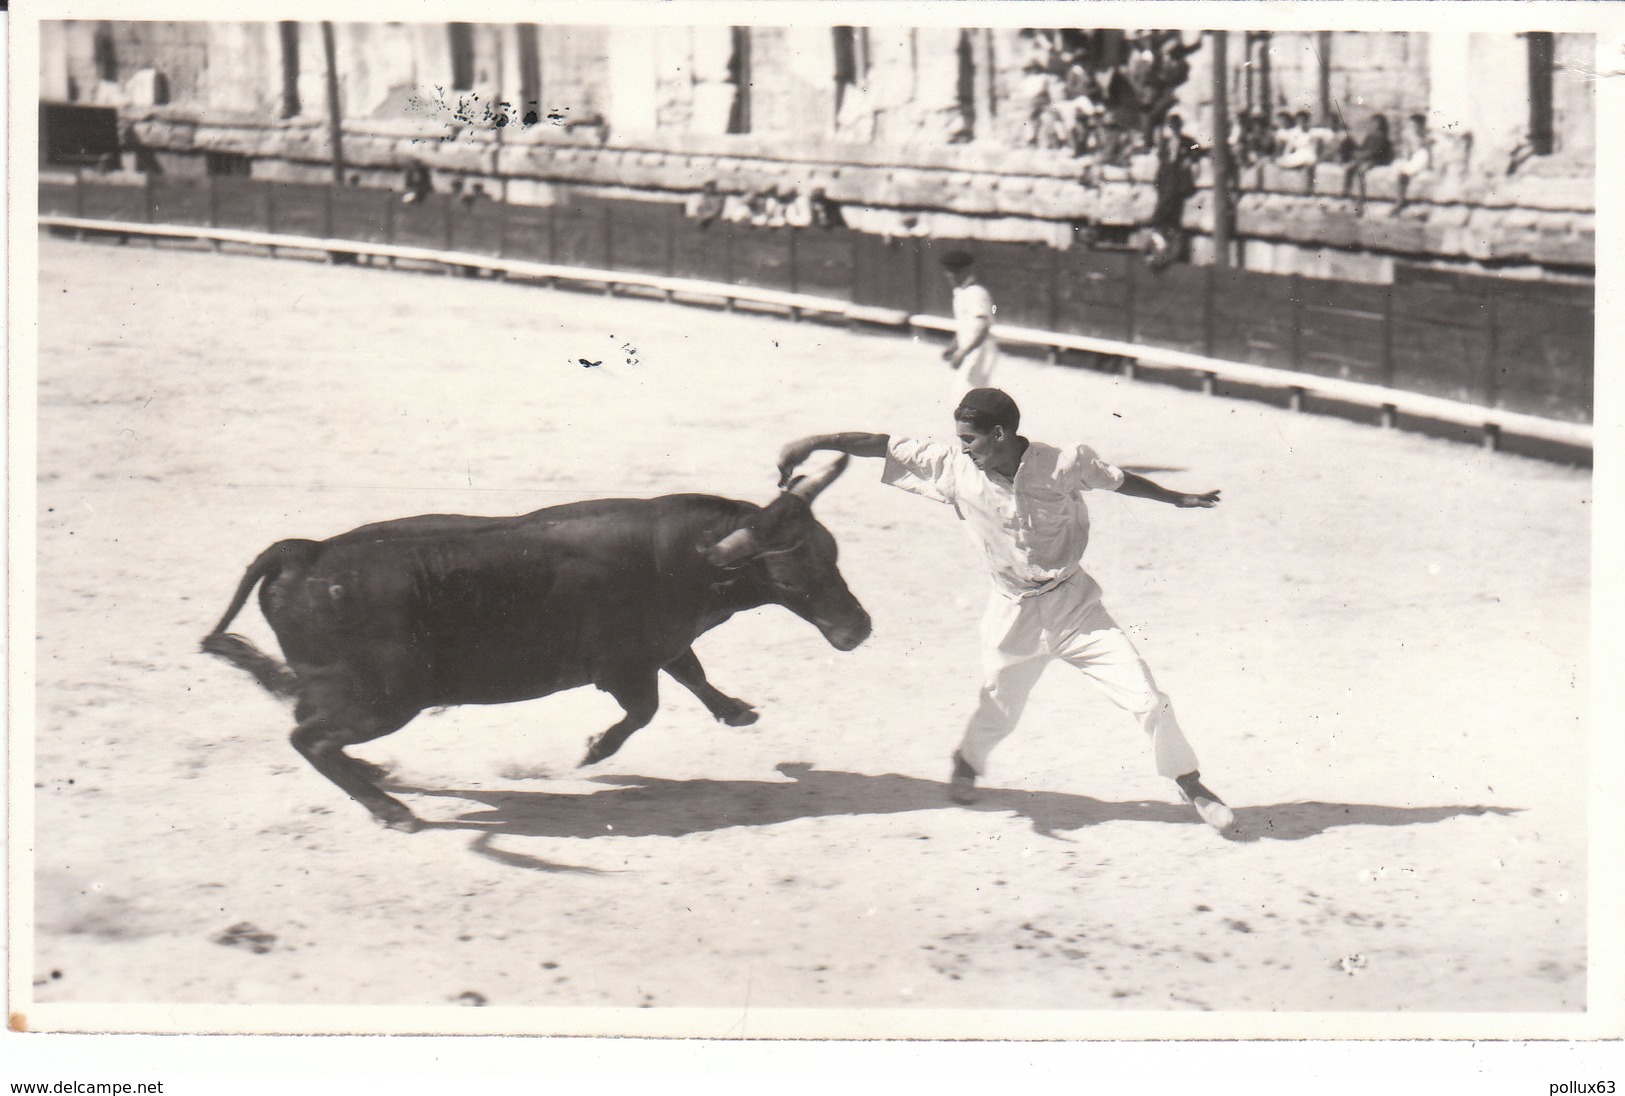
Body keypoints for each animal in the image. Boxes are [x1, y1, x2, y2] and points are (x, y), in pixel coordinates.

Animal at [206, 455, 877, 829]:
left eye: (832, 552)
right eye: (788, 576)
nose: (858, 629)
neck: (681, 559)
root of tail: (306, 551)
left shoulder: (662, 645)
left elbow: (692, 672)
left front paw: (736, 712)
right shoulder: (624, 668)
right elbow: (646, 708)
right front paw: (593, 751)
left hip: (349, 692)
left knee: (310, 726)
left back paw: (376, 776)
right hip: (383, 699)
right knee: (309, 738)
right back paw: (393, 811)